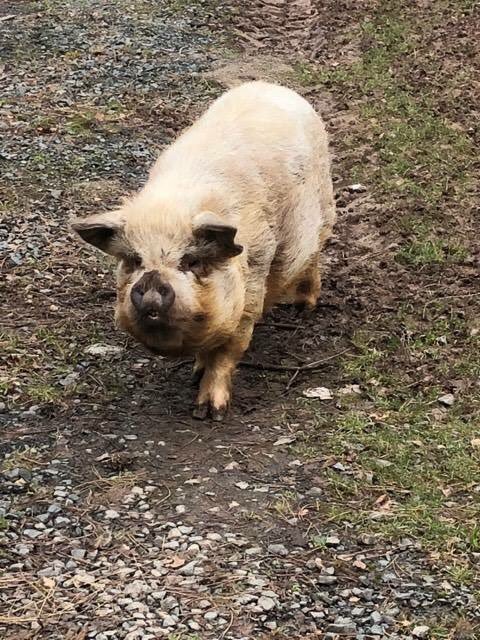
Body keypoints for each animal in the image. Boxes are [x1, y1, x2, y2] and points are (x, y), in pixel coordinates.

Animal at [71, 81, 336, 420]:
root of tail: (271, 87)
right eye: (134, 260)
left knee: (313, 256)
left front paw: (209, 413)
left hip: (323, 209)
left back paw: (304, 307)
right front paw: (195, 373)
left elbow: (227, 352)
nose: (152, 282)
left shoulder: (250, 289)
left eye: (191, 261)